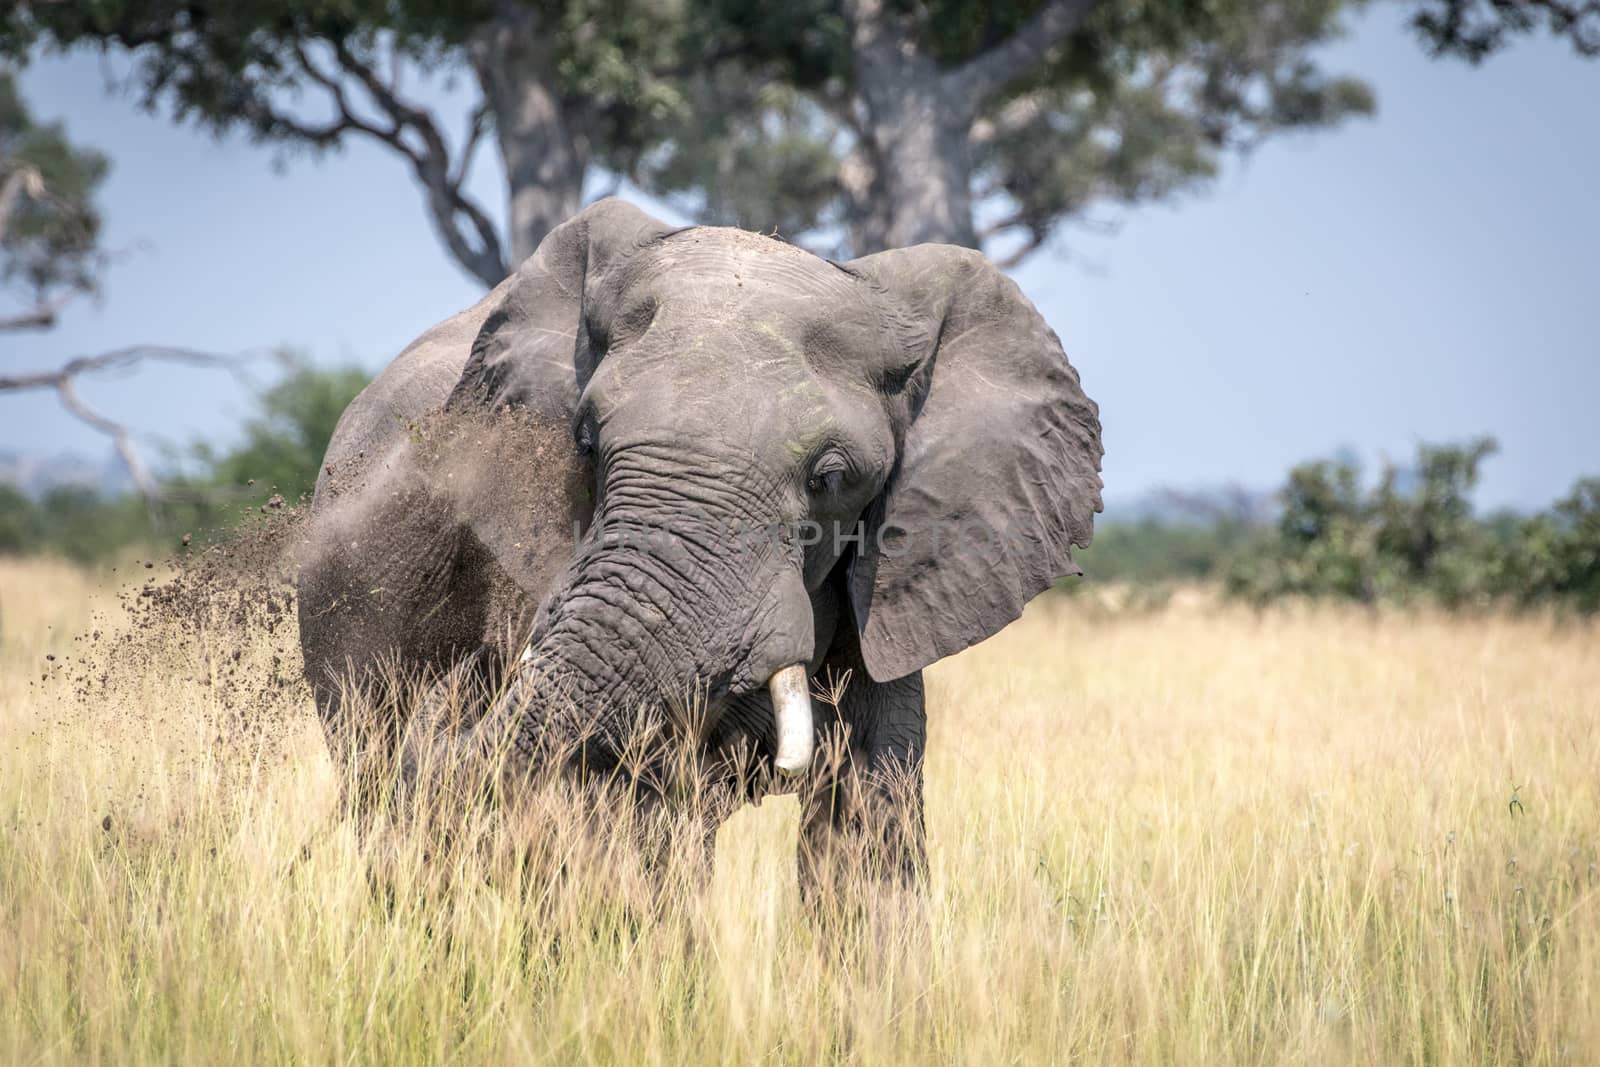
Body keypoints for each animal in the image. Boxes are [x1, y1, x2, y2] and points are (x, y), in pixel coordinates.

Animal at [297, 198, 1100, 895]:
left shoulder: (891, 587)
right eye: (585, 441)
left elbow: (867, 842)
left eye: (831, 478)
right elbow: (628, 833)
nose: (442, 711)